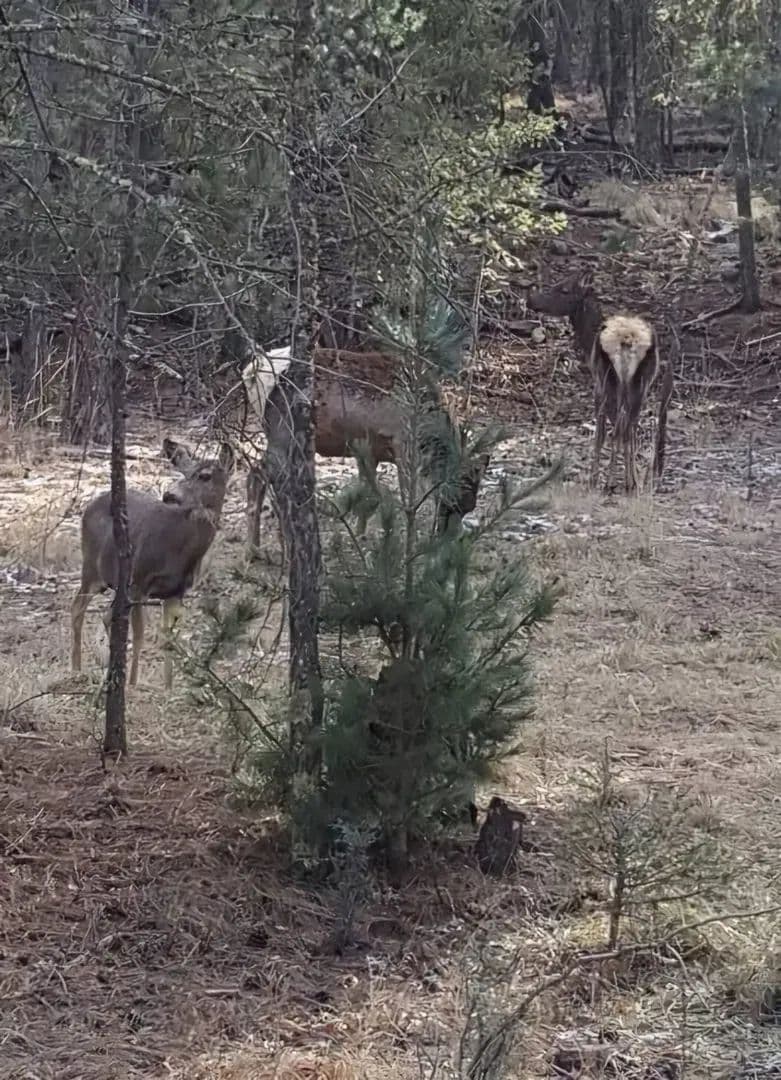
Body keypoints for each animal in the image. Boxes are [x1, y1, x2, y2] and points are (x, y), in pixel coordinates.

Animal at [71, 437, 234, 689]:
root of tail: (89, 505)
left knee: (105, 615)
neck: (182, 551)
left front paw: (168, 686)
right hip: (91, 568)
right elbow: (140, 633)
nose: (170, 495)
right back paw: (77, 670)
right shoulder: (140, 580)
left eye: (205, 475)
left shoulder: (176, 591)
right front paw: (133, 684)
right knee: (77, 608)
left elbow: (168, 637)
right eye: (183, 471)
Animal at [241, 346, 490, 546]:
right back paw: (254, 549)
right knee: (258, 473)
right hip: (283, 429)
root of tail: (251, 370)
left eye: (469, 508)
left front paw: (360, 533)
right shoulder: (400, 445)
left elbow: (369, 493)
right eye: (452, 502)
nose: (450, 540)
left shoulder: (368, 450)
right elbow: (407, 497)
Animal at [527, 269, 674, 493]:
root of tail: (628, 340)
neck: (587, 341)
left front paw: (594, 478)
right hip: (640, 381)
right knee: (630, 426)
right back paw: (631, 482)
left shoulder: (597, 385)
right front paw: (633, 478)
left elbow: (600, 433)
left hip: (610, 378)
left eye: (564, 289)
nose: (531, 300)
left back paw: (610, 482)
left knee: (619, 427)